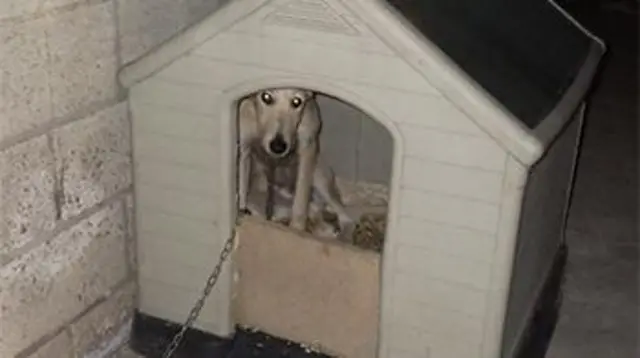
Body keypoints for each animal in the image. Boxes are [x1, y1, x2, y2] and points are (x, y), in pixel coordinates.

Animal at [235, 88, 356, 239]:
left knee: (345, 217)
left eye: (296, 101)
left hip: (319, 179)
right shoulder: (243, 149)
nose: (278, 146)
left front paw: (296, 229)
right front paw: (242, 212)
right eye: (266, 97)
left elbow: (300, 204)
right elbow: (242, 189)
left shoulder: (307, 149)